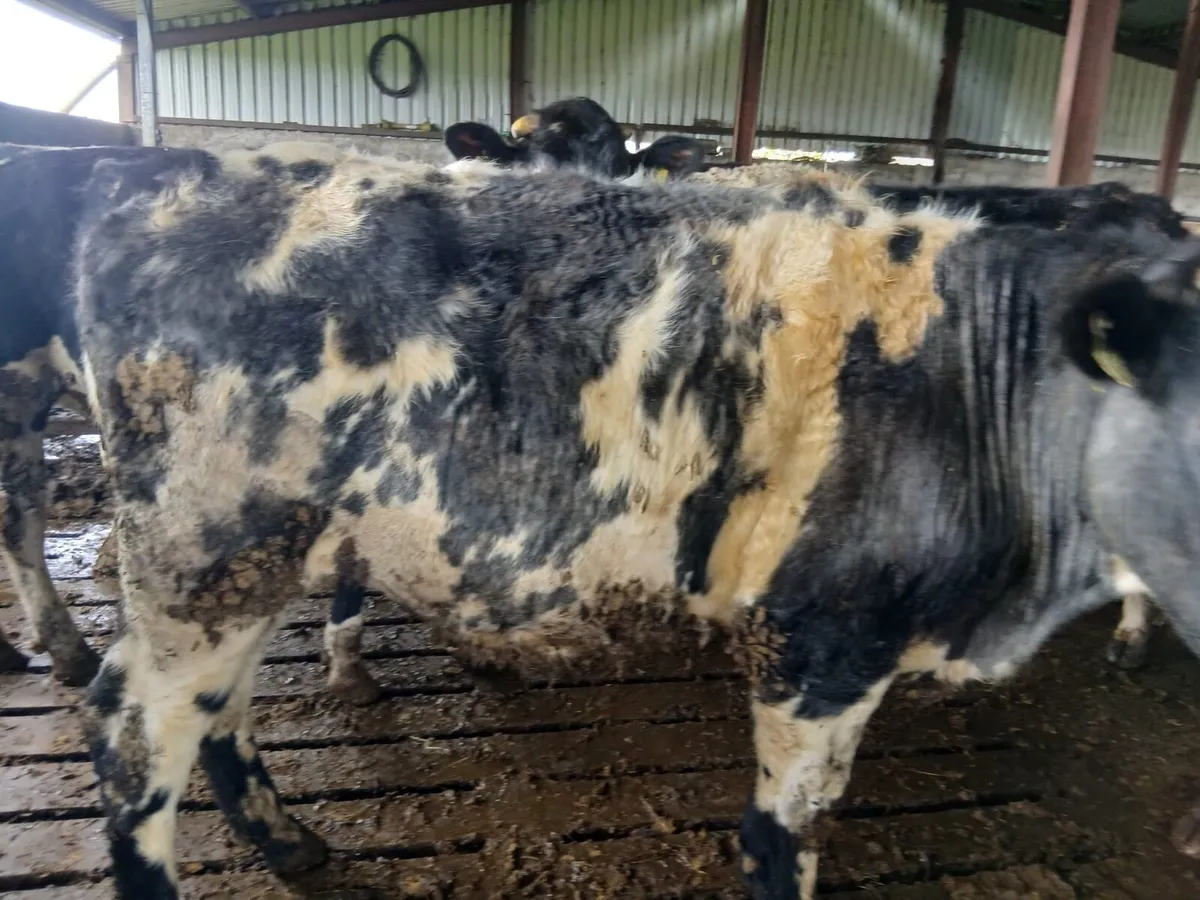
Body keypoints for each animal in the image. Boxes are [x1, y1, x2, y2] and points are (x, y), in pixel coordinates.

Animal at [62, 142, 1200, 900]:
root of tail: (165, 178)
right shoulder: (821, 641)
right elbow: (783, 835)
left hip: (254, 561)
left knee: (218, 711)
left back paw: (290, 842)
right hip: (201, 553)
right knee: (136, 734)